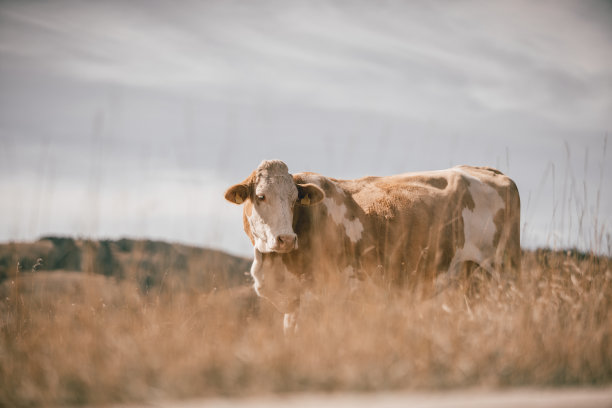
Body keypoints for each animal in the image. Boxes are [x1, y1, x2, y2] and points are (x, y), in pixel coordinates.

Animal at [225, 159, 520, 332]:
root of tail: (492, 172)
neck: (273, 264)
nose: (286, 239)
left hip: (501, 271)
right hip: (470, 279)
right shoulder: (293, 303)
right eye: (260, 196)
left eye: (295, 198)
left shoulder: (322, 295)